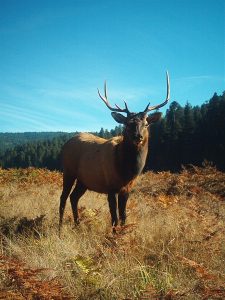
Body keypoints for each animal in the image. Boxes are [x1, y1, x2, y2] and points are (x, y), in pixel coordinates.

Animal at [59, 71, 170, 233]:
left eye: (146, 124)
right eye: (128, 124)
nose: (138, 136)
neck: (126, 171)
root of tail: (65, 144)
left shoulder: (127, 189)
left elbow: (124, 215)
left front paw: (123, 233)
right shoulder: (110, 186)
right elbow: (114, 216)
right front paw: (114, 235)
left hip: (84, 180)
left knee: (74, 197)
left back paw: (77, 225)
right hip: (68, 171)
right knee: (63, 197)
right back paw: (60, 228)